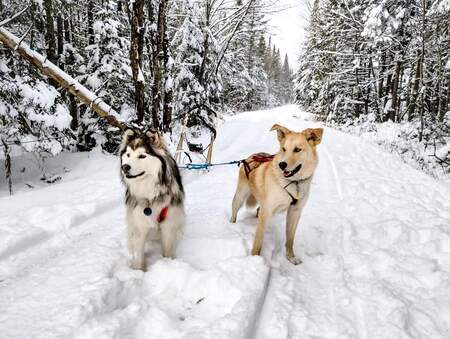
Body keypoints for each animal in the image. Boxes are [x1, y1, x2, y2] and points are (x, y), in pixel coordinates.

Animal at [230, 125, 322, 266]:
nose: (282, 164)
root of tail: (252, 156)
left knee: (258, 210)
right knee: (234, 211)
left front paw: (291, 257)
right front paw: (254, 260)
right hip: (240, 196)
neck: (294, 182)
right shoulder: (267, 211)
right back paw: (231, 226)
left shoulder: (295, 211)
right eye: (283, 149)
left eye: (297, 149)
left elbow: (290, 239)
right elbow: (258, 242)